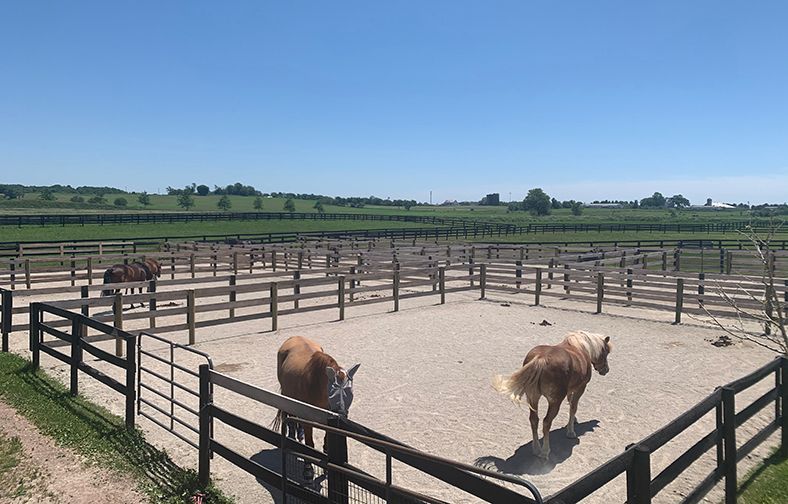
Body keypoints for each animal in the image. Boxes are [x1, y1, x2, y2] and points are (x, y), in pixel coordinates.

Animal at [273, 336, 360, 479]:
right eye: (333, 392)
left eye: (350, 391)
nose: (342, 413)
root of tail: (293, 337)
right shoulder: (309, 419)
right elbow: (310, 444)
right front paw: (308, 469)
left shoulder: (329, 420)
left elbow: (327, 441)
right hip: (287, 395)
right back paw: (292, 436)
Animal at [493, 330, 612, 460]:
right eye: (606, 351)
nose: (606, 370)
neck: (579, 347)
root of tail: (541, 358)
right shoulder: (581, 388)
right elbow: (573, 407)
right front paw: (571, 431)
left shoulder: (571, 390)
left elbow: (570, 402)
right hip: (555, 401)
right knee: (546, 422)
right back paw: (545, 451)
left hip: (533, 397)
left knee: (534, 420)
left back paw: (536, 449)